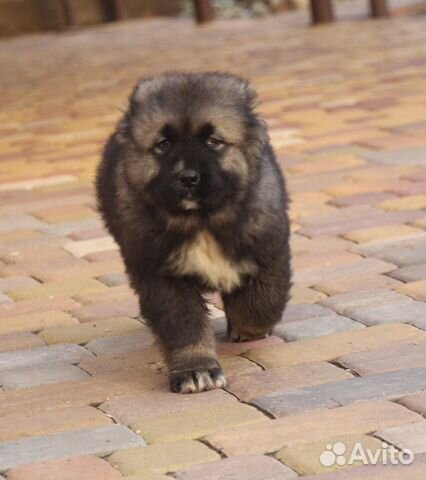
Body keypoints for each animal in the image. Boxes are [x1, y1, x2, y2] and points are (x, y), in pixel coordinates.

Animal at [95, 71, 292, 394]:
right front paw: (196, 370)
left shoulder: (268, 250)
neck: (201, 221)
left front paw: (245, 328)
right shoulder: (161, 275)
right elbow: (184, 325)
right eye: (163, 144)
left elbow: (260, 304)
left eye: (214, 141)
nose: (187, 177)